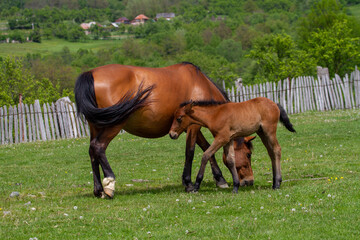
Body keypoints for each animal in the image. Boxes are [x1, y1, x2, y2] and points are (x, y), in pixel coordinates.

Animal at [74, 62, 253, 199]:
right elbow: (191, 151)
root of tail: (91, 73)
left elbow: (206, 148)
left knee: (92, 152)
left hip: (96, 126)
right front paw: (189, 184)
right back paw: (110, 184)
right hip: (113, 125)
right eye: (248, 154)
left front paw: (220, 179)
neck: (201, 85)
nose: (249, 181)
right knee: (98, 147)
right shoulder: (193, 126)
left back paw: (98, 190)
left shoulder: (188, 126)